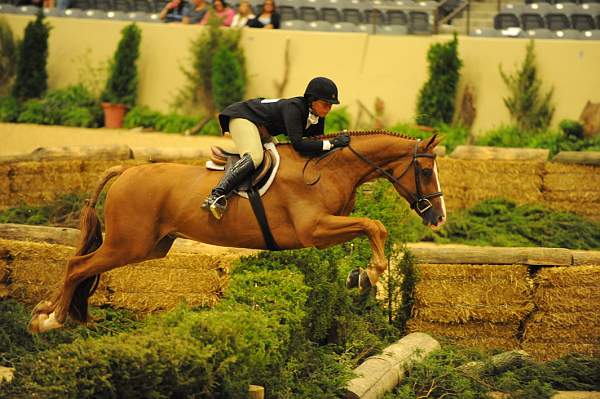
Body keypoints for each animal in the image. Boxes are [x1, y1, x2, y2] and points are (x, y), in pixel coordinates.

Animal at [29, 132, 446, 334]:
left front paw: (361, 276)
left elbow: (372, 229)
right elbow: (376, 226)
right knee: (77, 266)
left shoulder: (328, 228)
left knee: (79, 265)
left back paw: (44, 310)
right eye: (426, 172)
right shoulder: (313, 230)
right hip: (126, 244)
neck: (329, 167)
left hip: (150, 247)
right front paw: (368, 275)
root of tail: (125, 171)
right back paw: (50, 320)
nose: (439, 218)